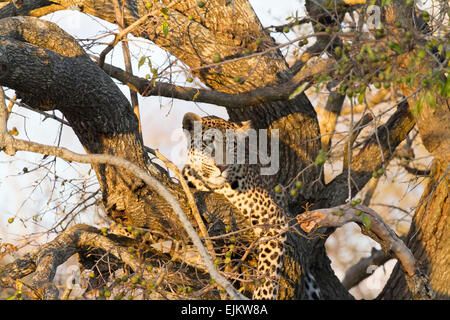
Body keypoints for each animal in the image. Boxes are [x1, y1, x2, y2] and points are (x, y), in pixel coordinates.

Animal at [183, 112, 292, 300]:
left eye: (233, 146)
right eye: (207, 143)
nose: (221, 166)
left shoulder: (274, 217)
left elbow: (268, 268)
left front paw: (263, 295)